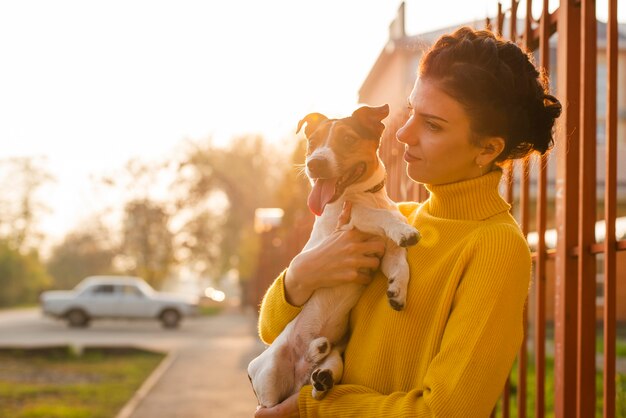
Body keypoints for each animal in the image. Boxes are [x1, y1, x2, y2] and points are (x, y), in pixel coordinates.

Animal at [247, 103, 420, 408]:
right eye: (312, 142)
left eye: (348, 139)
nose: (315, 163)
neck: (366, 195)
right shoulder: (345, 223)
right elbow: (373, 215)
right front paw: (401, 227)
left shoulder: (384, 253)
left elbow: (400, 263)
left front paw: (397, 289)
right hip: (268, 376)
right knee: (268, 402)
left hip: (338, 356)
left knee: (323, 373)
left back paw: (321, 370)